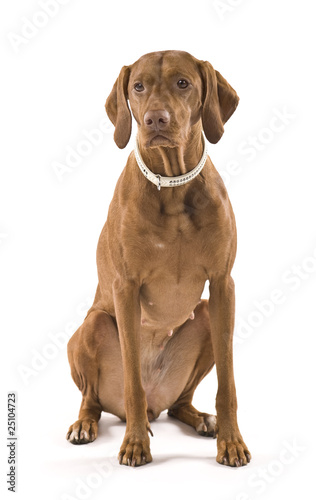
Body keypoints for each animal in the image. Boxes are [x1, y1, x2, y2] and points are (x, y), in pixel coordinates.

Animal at [66, 48, 252, 466]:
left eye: (183, 83)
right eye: (138, 86)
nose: (155, 119)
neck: (172, 187)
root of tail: (157, 404)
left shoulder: (223, 285)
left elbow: (229, 384)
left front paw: (231, 441)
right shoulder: (125, 288)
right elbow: (133, 384)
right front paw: (135, 444)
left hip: (203, 318)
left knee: (179, 403)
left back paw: (201, 419)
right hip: (92, 327)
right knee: (94, 398)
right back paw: (86, 423)